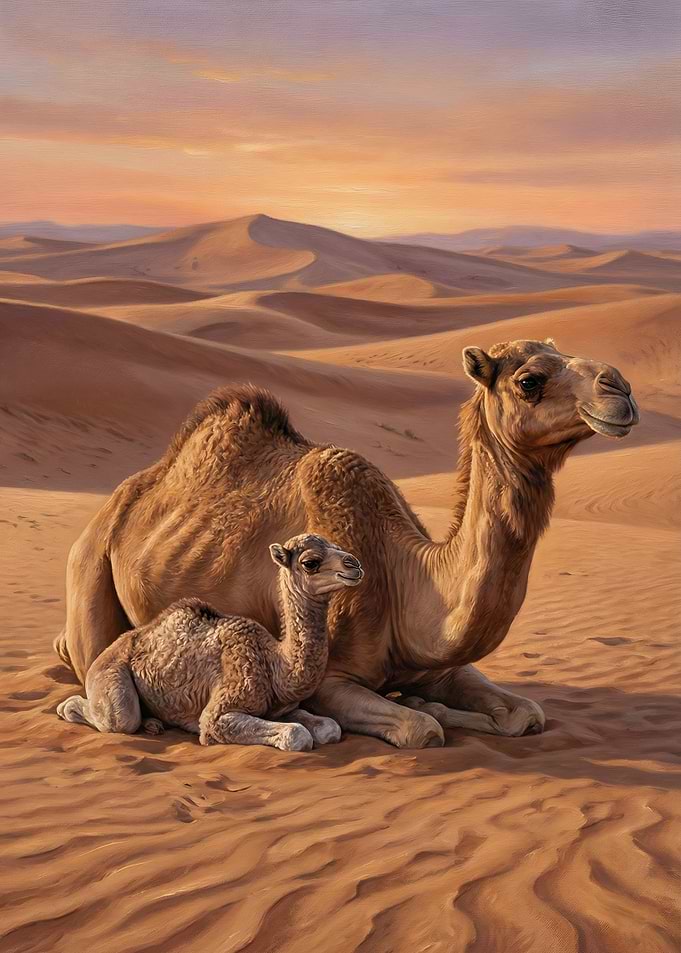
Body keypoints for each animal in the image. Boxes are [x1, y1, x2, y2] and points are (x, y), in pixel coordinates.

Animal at [57, 534, 364, 751]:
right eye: (310, 562)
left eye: (337, 545)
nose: (355, 564)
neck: (275, 664)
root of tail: (112, 648)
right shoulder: (218, 714)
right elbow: (297, 735)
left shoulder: (283, 707)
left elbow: (330, 728)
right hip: (110, 675)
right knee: (115, 716)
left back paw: (154, 723)